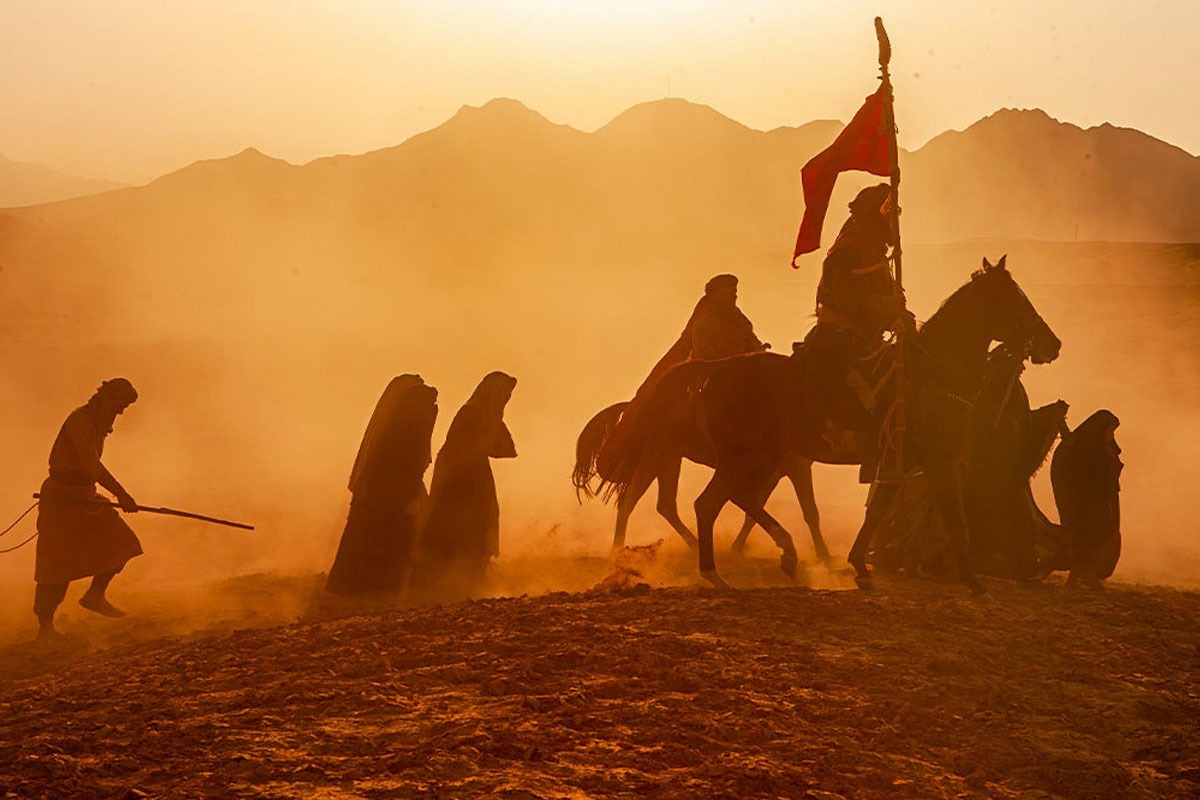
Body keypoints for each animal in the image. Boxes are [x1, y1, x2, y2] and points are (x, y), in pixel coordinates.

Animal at [568, 402, 825, 561]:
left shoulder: (772, 474)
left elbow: (752, 513)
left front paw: (737, 548)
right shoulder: (797, 468)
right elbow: (810, 511)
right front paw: (825, 557)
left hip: (660, 462)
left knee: (645, 504)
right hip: (661, 460)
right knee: (647, 503)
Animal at [604, 256, 1056, 594]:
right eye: (1015, 299)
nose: (1053, 344)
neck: (933, 371)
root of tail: (712, 370)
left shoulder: (896, 463)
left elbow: (878, 512)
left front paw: (859, 566)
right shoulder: (940, 461)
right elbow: (954, 516)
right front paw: (973, 581)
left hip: (756, 458)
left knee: (731, 499)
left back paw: (783, 554)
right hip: (742, 458)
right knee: (707, 503)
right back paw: (717, 574)